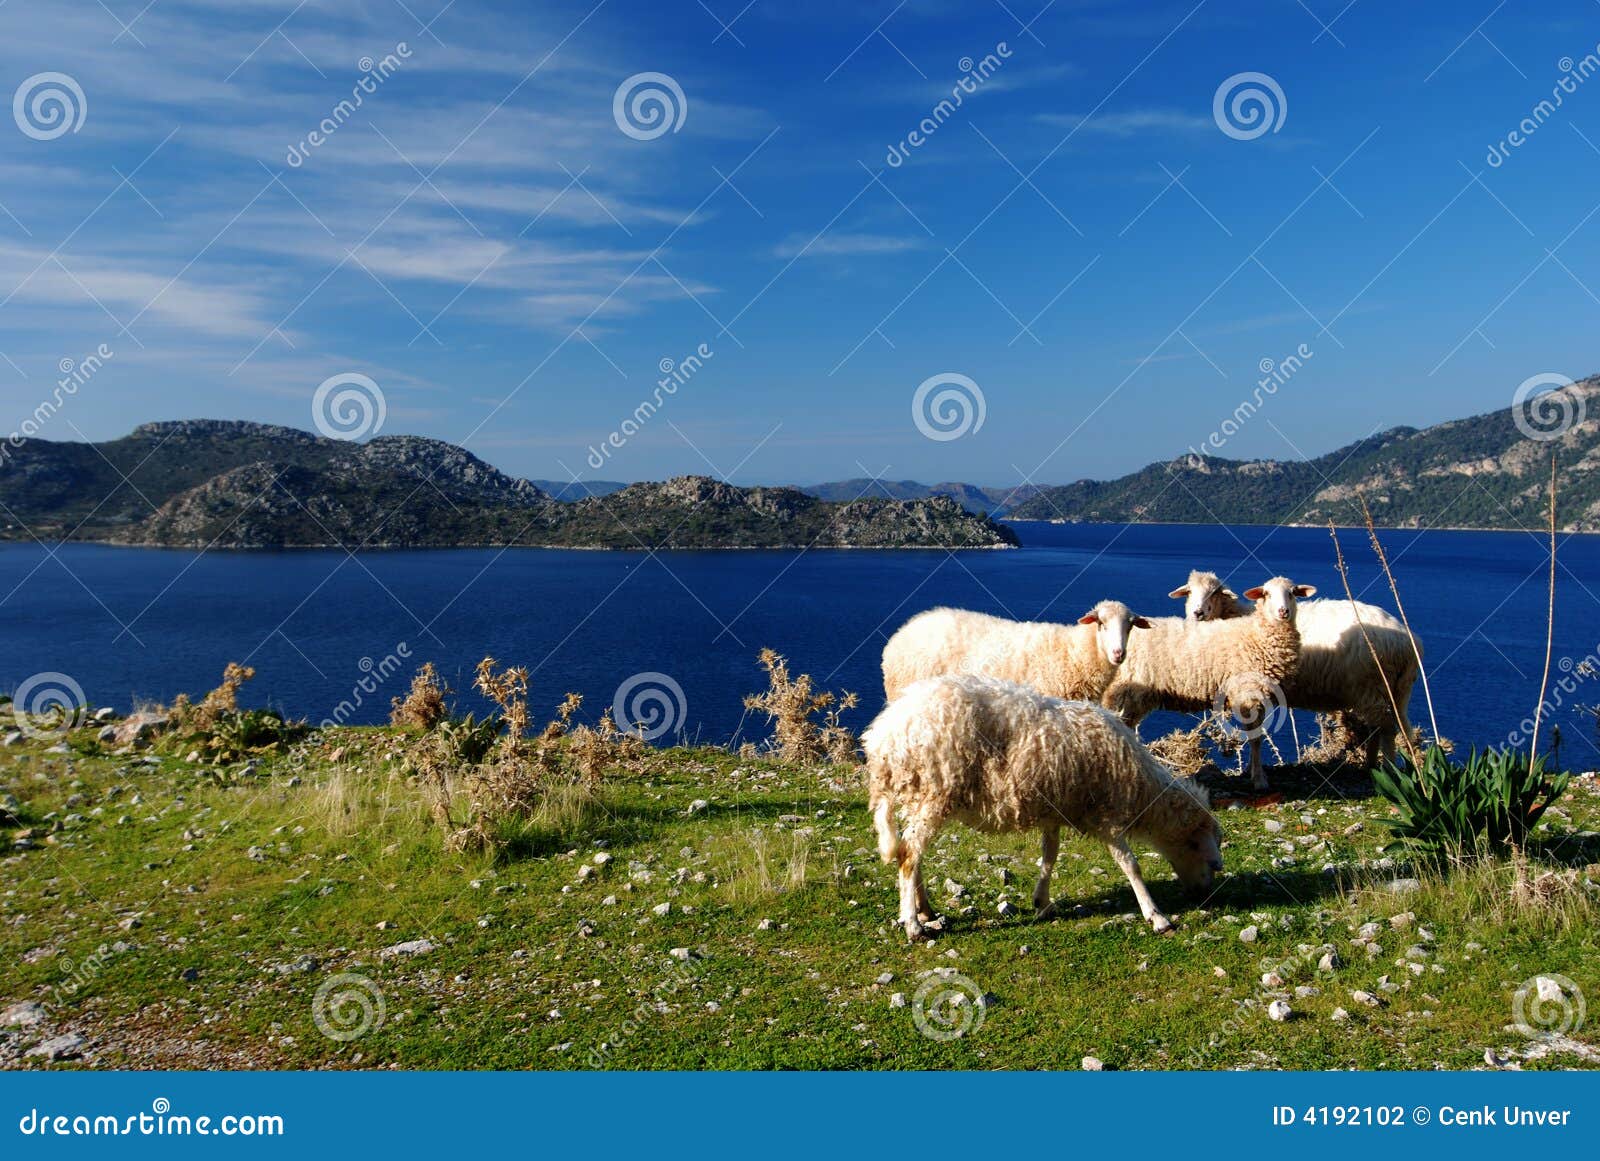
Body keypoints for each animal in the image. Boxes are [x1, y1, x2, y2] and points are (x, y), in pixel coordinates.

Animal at [864, 678, 1222, 940]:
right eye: (1201, 850)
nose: (1203, 894)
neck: (1140, 788)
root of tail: (883, 735)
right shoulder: (1106, 815)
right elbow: (1130, 865)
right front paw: (1156, 916)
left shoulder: (1055, 810)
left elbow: (1050, 854)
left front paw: (1043, 901)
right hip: (935, 792)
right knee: (909, 854)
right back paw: (913, 925)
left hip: (921, 796)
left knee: (911, 853)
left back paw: (925, 910)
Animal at [1100, 578, 1312, 789]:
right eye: (1266, 594)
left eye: (1292, 593)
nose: (1283, 611)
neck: (1257, 634)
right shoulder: (1248, 694)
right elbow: (1255, 738)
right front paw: (1259, 780)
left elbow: (1257, 735)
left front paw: (1254, 772)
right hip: (1120, 692)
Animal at [1171, 569, 1420, 767]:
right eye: (1190, 592)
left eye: (1215, 593)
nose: (1197, 613)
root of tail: (1408, 642)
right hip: (1391, 690)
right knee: (1380, 728)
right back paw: (1371, 765)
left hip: (1373, 685)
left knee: (1386, 729)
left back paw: (1388, 768)